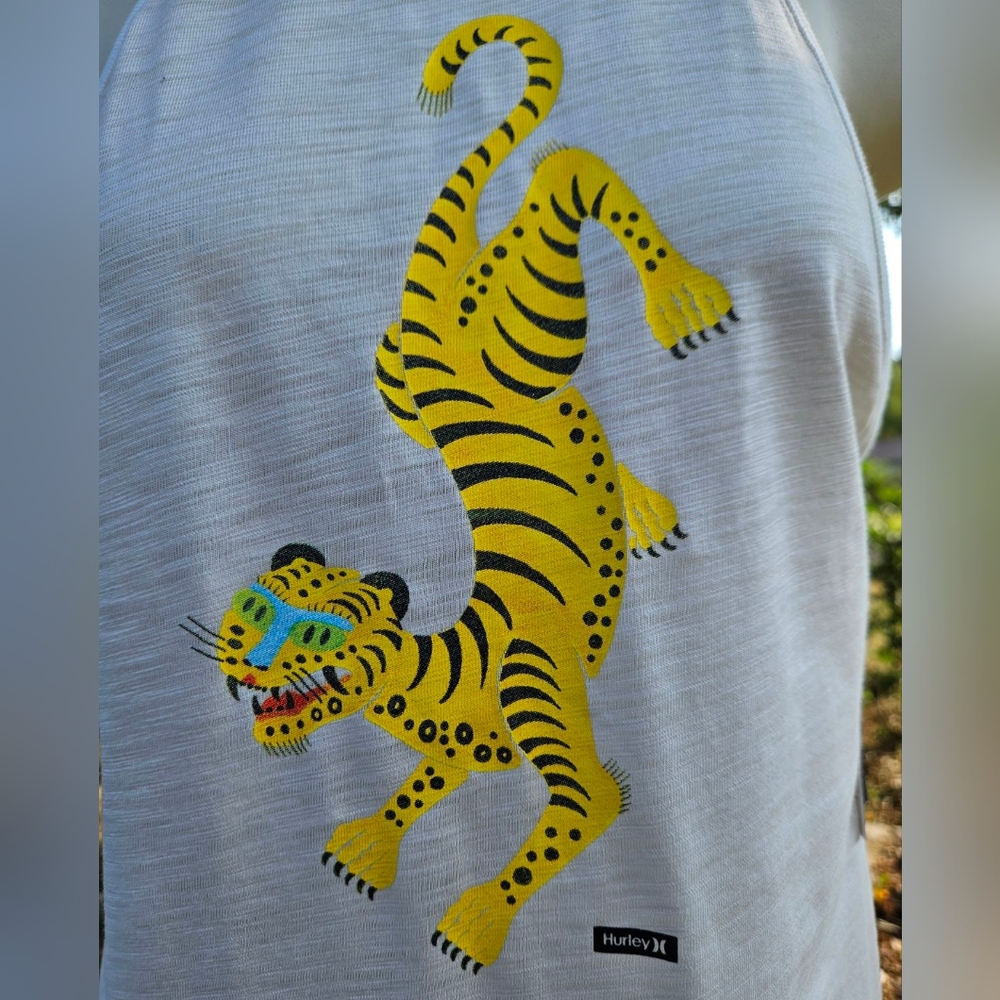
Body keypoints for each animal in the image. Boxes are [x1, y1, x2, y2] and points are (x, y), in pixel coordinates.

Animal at [190, 14, 737, 973]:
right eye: (253, 609)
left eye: (317, 635)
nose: (244, 660)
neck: (442, 671)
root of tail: (440, 326)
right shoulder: (455, 749)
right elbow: (419, 789)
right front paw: (370, 847)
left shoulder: (540, 703)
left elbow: (581, 812)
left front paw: (475, 923)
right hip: (402, 371)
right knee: (577, 396)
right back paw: (638, 511)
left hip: (528, 323)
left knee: (568, 169)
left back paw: (685, 300)